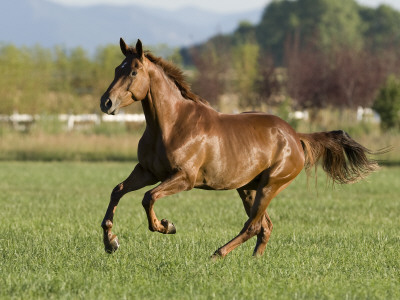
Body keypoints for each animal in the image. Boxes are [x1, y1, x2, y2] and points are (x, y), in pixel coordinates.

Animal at [98, 38, 380, 258]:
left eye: (133, 72)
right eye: (116, 69)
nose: (106, 102)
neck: (172, 124)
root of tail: (294, 136)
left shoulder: (184, 178)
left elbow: (149, 197)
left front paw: (166, 226)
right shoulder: (147, 171)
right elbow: (117, 191)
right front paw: (111, 242)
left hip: (270, 186)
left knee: (253, 225)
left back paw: (217, 254)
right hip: (248, 188)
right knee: (265, 226)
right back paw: (253, 261)